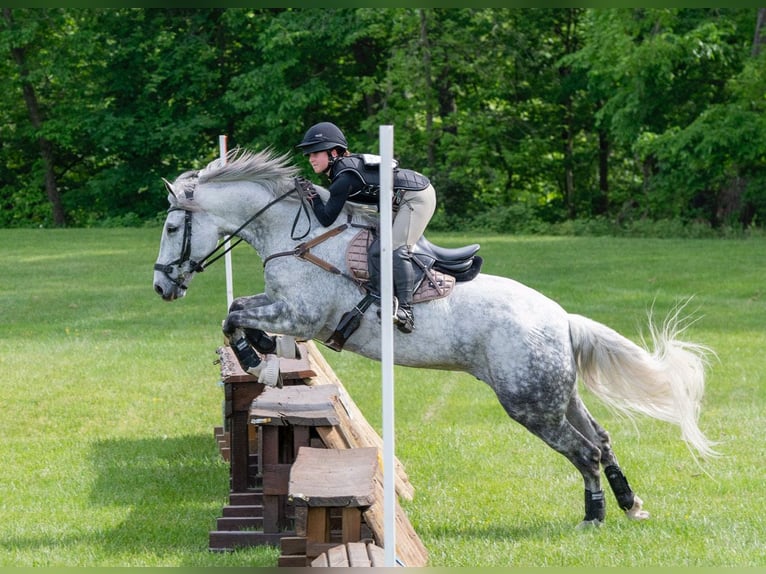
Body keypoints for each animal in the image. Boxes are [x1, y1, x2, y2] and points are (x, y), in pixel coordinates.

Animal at [153, 148, 716, 528]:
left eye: (172, 227)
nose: (161, 286)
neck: (297, 237)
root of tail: (562, 319)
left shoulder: (302, 314)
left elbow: (233, 315)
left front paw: (262, 360)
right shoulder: (286, 309)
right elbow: (237, 313)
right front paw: (267, 353)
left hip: (529, 402)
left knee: (584, 451)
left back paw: (593, 516)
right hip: (556, 393)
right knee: (600, 439)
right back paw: (630, 505)